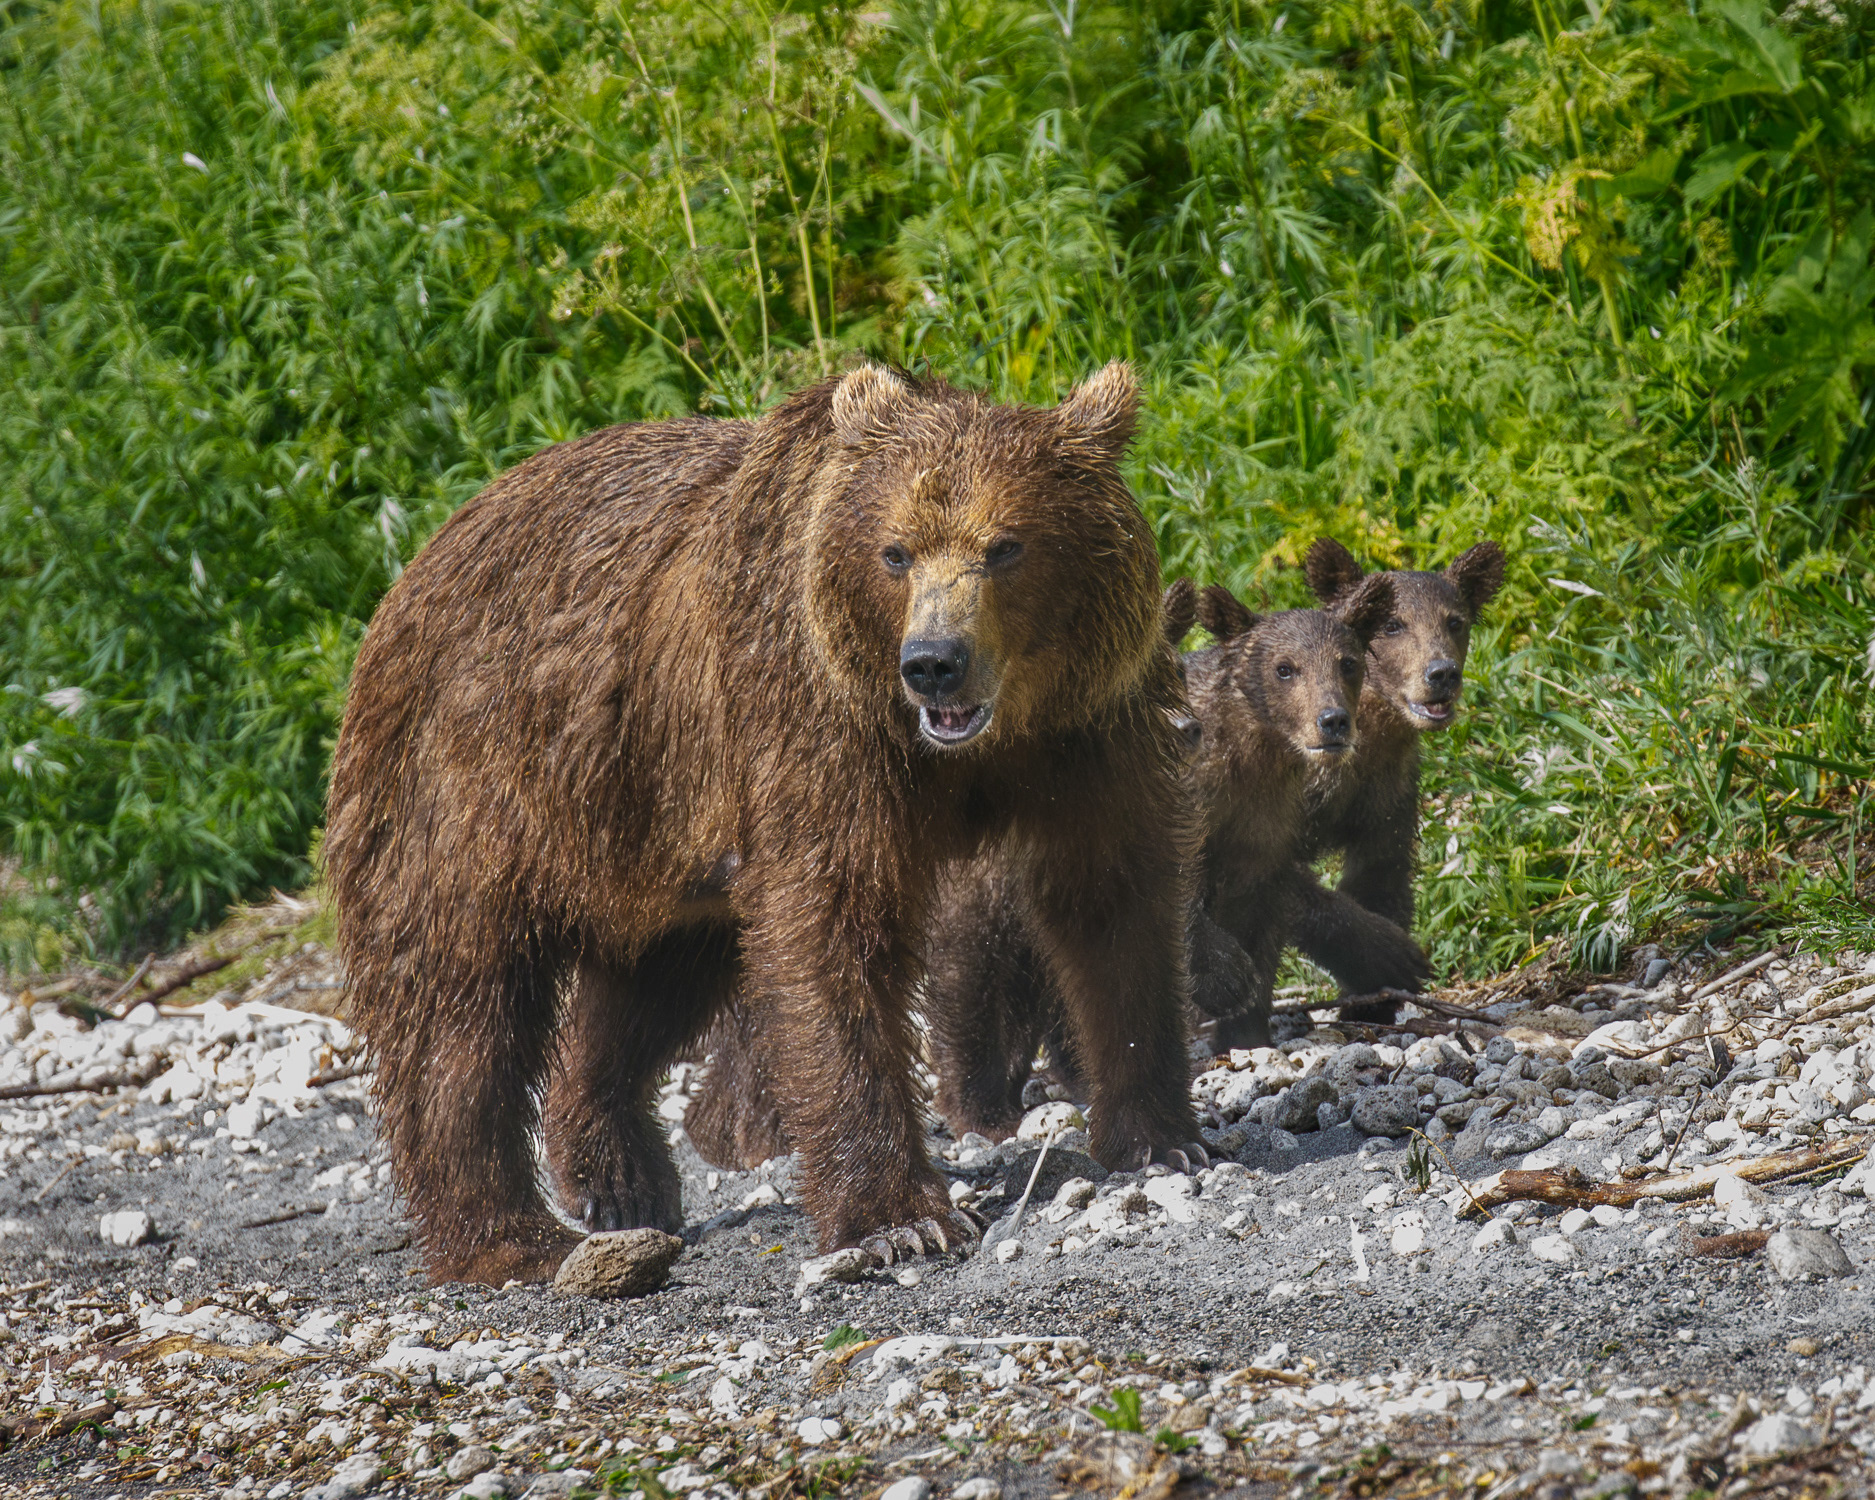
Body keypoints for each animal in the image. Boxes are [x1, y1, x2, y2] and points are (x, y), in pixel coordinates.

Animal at [323, 362, 1207, 1285]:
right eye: (895, 552)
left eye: (1005, 546)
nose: (933, 663)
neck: (981, 744)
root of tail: (413, 570)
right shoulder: (816, 726)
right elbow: (831, 932)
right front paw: (898, 1219)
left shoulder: (1091, 734)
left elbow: (1114, 908)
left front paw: (1158, 1138)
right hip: (473, 782)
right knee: (460, 1009)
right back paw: (510, 1237)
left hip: (655, 835)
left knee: (650, 986)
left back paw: (621, 1182)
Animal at [1295, 538, 1505, 1018]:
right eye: (1393, 625)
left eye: (1455, 621)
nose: (1442, 673)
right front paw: (1391, 959)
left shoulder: (1386, 793)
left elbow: (1378, 876)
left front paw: (1370, 1002)